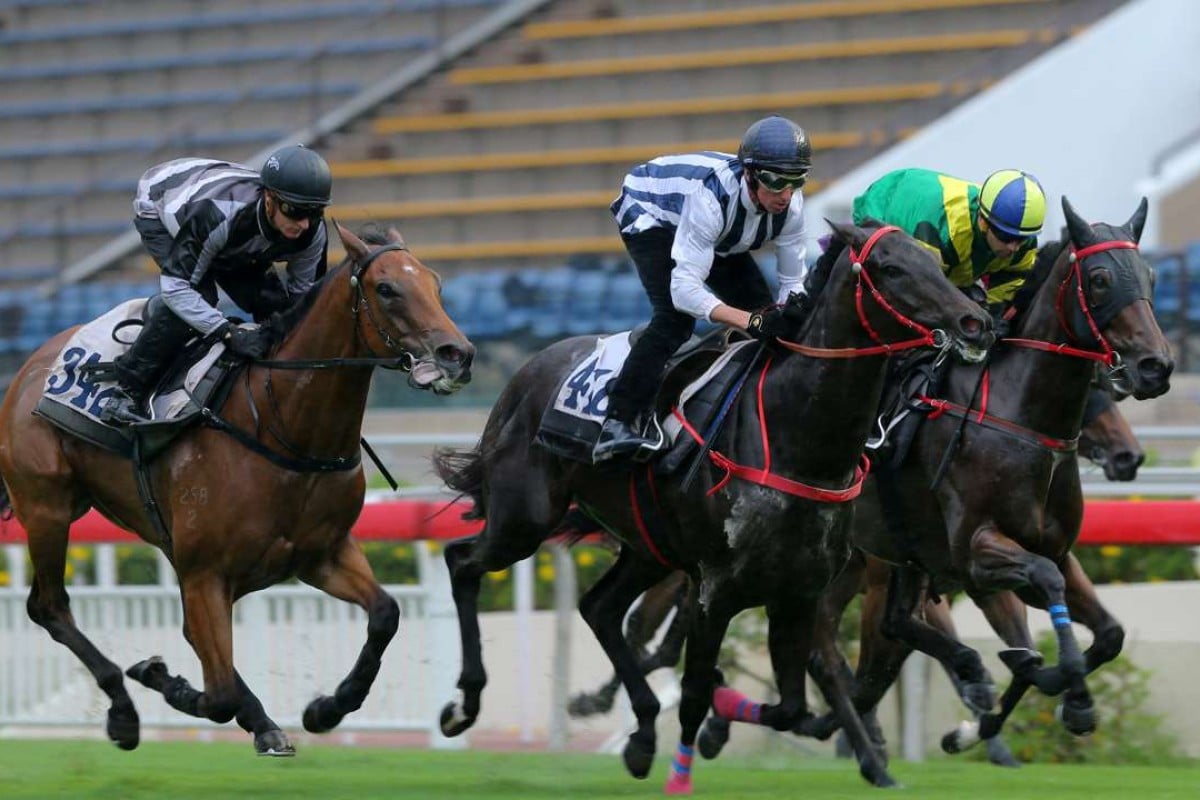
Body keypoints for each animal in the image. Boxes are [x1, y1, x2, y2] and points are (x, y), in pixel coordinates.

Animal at [0, 224, 475, 758]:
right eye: (387, 288)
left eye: (436, 284)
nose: (458, 355)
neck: (283, 427)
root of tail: (32, 366)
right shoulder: (206, 571)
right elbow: (219, 693)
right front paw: (159, 675)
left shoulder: (320, 555)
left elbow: (385, 614)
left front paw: (326, 707)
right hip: (47, 507)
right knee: (50, 606)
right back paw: (124, 712)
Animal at [434, 220, 993, 796]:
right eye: (891, 268)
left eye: (933, 261)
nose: (975, 321)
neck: (798, 439)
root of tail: (528, 371)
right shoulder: (714, 590)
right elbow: (698, 692)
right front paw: (687, 764)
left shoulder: (799, 592)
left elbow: (789, 707)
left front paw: (717, 722)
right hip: (523, 519)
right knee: (463, 563)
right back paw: (463, 704)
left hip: (646, 545)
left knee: (600, 608)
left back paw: (640, 735)